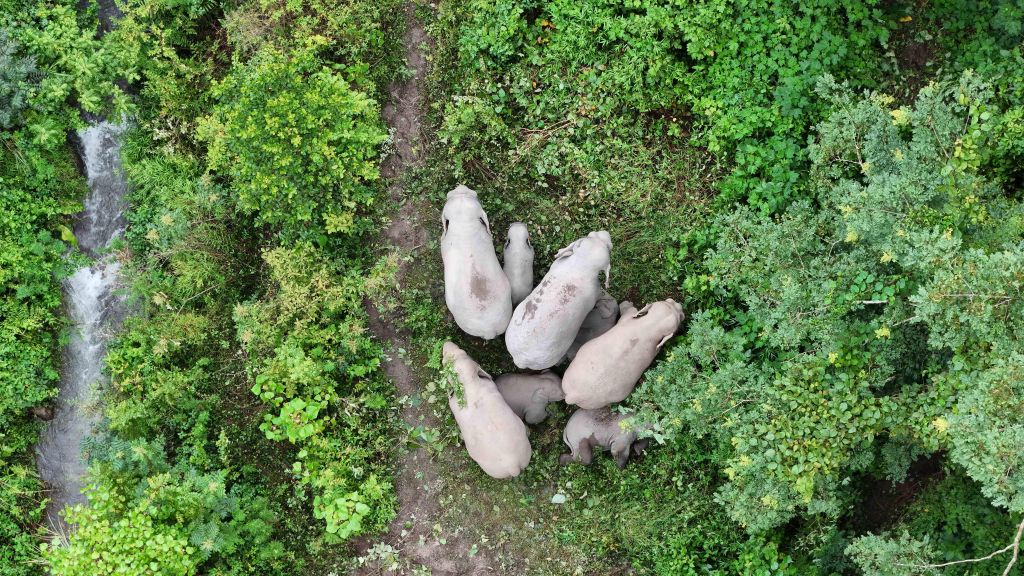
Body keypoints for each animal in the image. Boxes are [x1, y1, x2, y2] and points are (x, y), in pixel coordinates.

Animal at [443, 342, 531, 478]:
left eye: (445, 364)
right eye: (463, 351)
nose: (446, 343)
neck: (471, 384)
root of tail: (514, 466)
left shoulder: (453, 404)